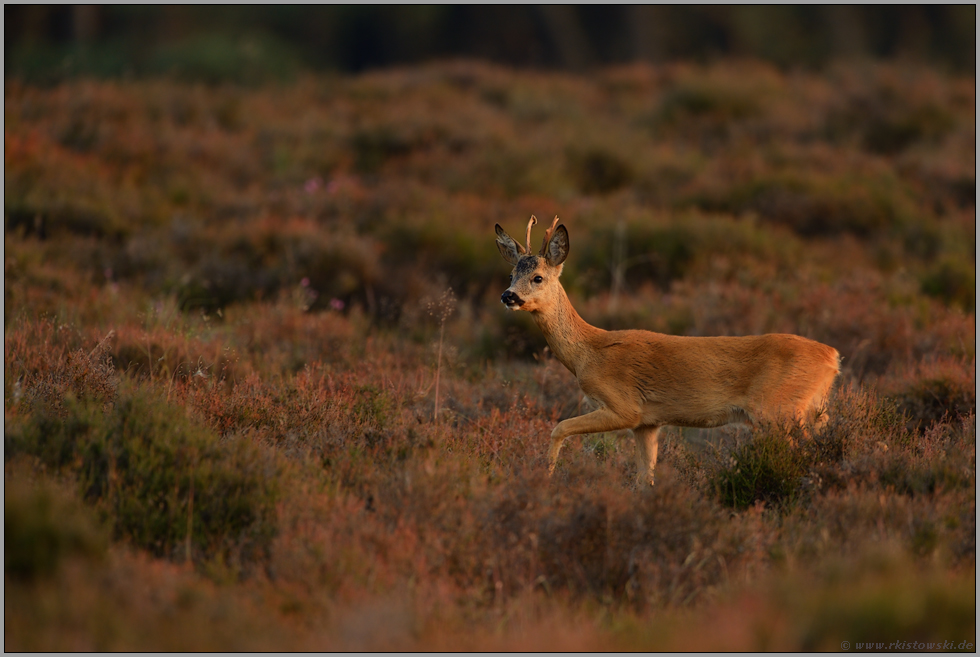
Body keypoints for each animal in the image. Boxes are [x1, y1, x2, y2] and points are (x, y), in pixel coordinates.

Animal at [495, 216, 841, 486]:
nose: (508, 296)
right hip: (813, 411)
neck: (588, 353)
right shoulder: (648, 423)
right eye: (511, 274)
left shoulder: (625, 406)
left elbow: (558, 427)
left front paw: (546, 474)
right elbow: (644, 478)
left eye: (538, 277)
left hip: (778, 410)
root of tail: (833, 356)